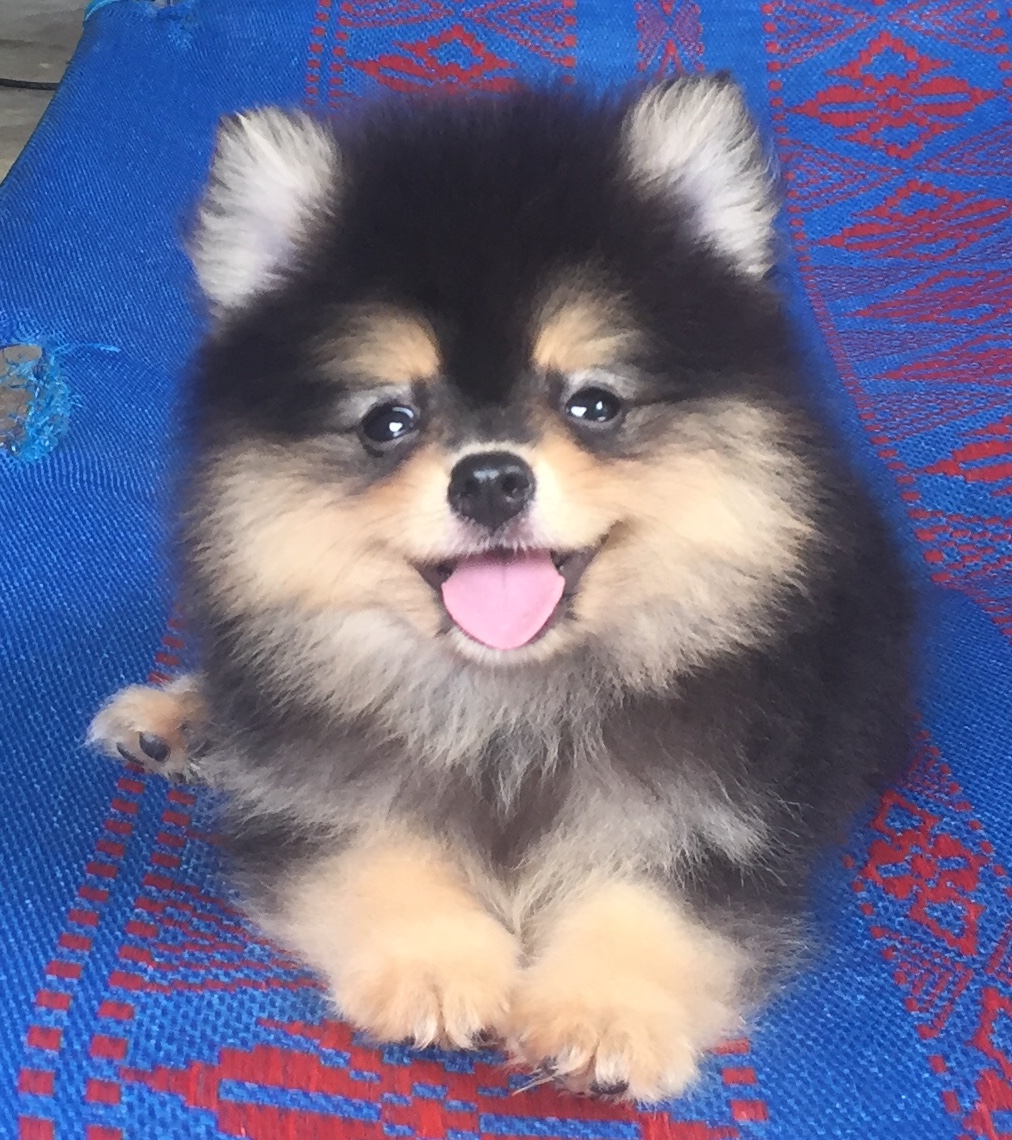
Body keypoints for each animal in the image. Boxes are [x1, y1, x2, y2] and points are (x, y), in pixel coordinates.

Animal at [89, 76, 913, 1102]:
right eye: (388, 421)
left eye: (593, 403)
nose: (489, 477)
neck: (507, 710)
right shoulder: (325, 800)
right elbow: (384, 853)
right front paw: (435, 967)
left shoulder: (724, 818)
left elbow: (648, 896)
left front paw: (603, 1013)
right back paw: (179, 719)